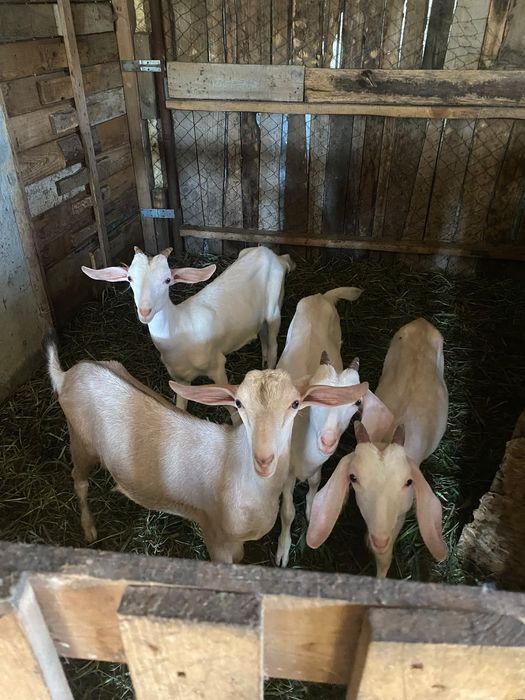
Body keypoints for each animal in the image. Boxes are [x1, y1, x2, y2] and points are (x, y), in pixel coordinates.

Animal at [45, 334, 367, 564]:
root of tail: (69, 374)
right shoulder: (215, 535)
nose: (264, 459)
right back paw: (88, 527)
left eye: (295, 404)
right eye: (239, 403)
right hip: (81, 441)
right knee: (79, 481)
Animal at [81, 246, 294, 409]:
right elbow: (181, 408)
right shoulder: (179, 378)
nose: (145, 311)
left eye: (167, 280)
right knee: (263, 336)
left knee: (274, 344)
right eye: (130, 279)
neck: (179, 329)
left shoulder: (217, 365)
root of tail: (274, 255)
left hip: (274, 309)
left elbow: (231, 408)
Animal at [274, 287, 363, 567]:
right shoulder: (286, 473)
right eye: (313, 395)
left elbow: (315, 482)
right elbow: (287, 512)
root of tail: (321, 295)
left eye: (357, 401)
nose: (327, 440)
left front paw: (313, 508)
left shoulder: (318, 464)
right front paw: (283, 549)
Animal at [307, 318, 449, 577]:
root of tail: (422, 322)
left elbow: (385, 557)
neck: (385, 435)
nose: (379, 539)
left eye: (409, 482)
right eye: (353, 478)